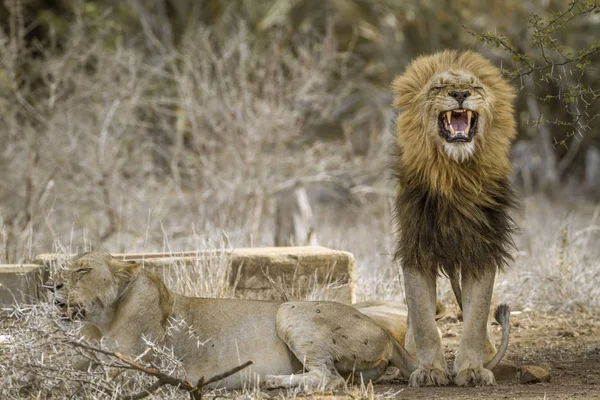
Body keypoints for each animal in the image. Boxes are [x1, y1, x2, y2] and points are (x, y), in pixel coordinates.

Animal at [48, 250, 422, 390]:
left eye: (82, 271)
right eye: (65, 268)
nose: (52, 285)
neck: (102, 320)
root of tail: (388, 334)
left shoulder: (134, 370)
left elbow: (81, 378)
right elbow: (71, 365)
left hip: (289, 309)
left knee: (328, 379)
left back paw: (271, 381)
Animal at [392, 48, 516, 386]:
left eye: (474, 87)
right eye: (439, 87)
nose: (460, 94)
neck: (455, 174)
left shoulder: (481, 249)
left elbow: (476, 316)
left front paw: (472, 369)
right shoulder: (417, 248)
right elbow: (422, 319)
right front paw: (429, 369)